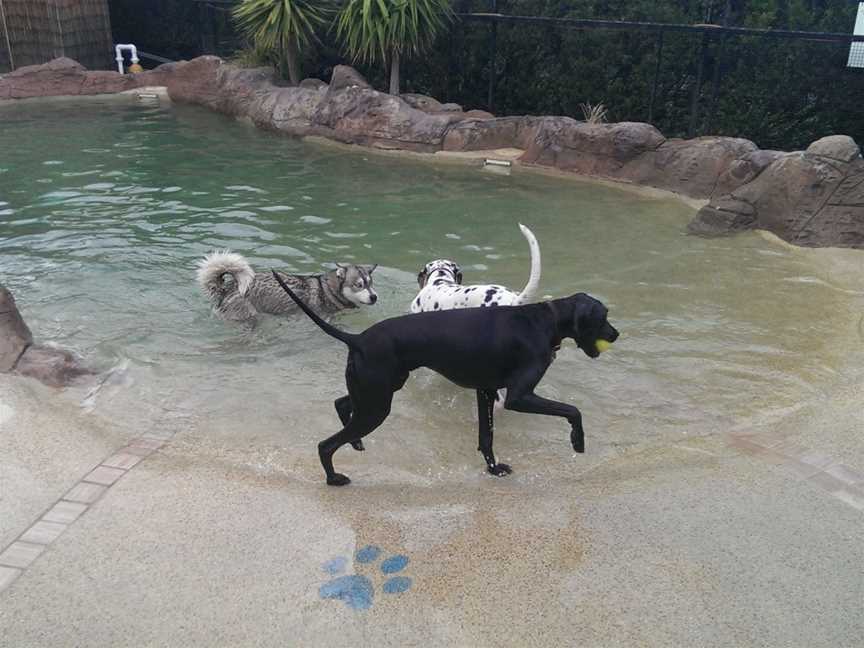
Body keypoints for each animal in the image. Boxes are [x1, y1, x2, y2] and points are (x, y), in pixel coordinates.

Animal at [274, 270, 616, 486]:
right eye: (603, 317)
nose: (616, 334)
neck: (544, 320)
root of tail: (357, 338)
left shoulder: (485, 391)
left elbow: (486, 437)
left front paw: (493, 469)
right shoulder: (519, 396)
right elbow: (573, 410)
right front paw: (578, 441)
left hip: (375, 392)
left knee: (341, 404)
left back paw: (355, 442)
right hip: (377, 405)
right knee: (326, 444)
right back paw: (333, 478)